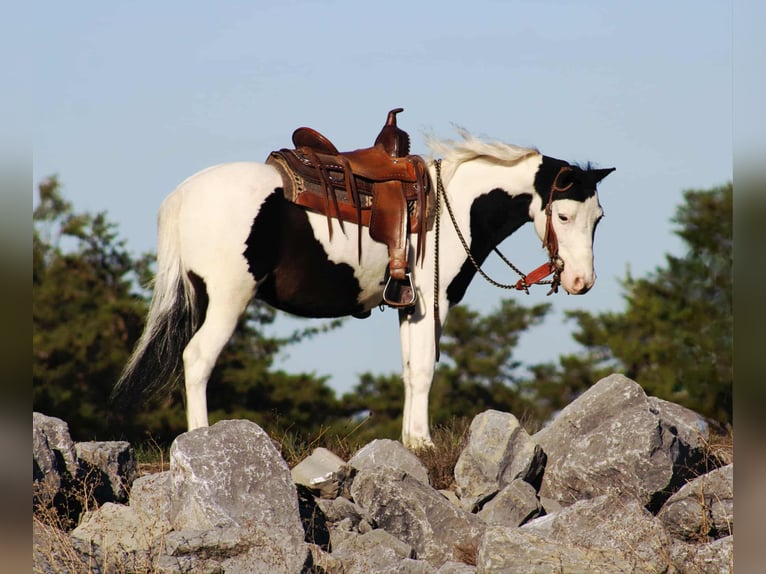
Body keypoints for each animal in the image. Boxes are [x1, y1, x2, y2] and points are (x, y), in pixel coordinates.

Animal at [113, 126, 614, 448]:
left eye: (599, 218)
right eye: (563, 215)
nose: (582, 281)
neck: (448, 205)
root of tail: (183, 196)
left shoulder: (410, 306)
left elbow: (410, 370)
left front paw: (411, 441)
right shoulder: (433, 302)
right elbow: (424, 370)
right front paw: (424, 444)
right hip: (227, 300)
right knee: (197, 360)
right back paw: (199, 439)